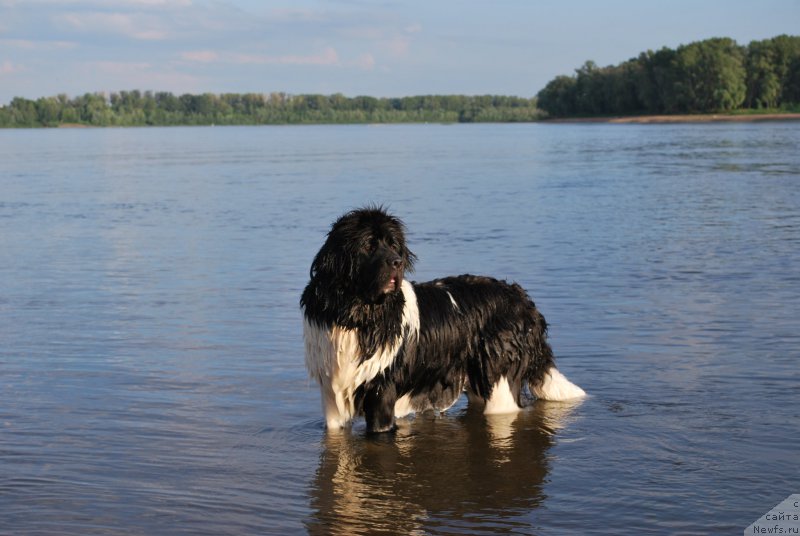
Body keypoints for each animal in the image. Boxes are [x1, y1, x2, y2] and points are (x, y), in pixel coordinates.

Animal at [304, 207, 584, 434]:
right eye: (368, 245)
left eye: (394, 245)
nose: (397, 261)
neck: (357, 315)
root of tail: (522, 299)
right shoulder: (332, 396)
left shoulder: (381, 392)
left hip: (499, 376)